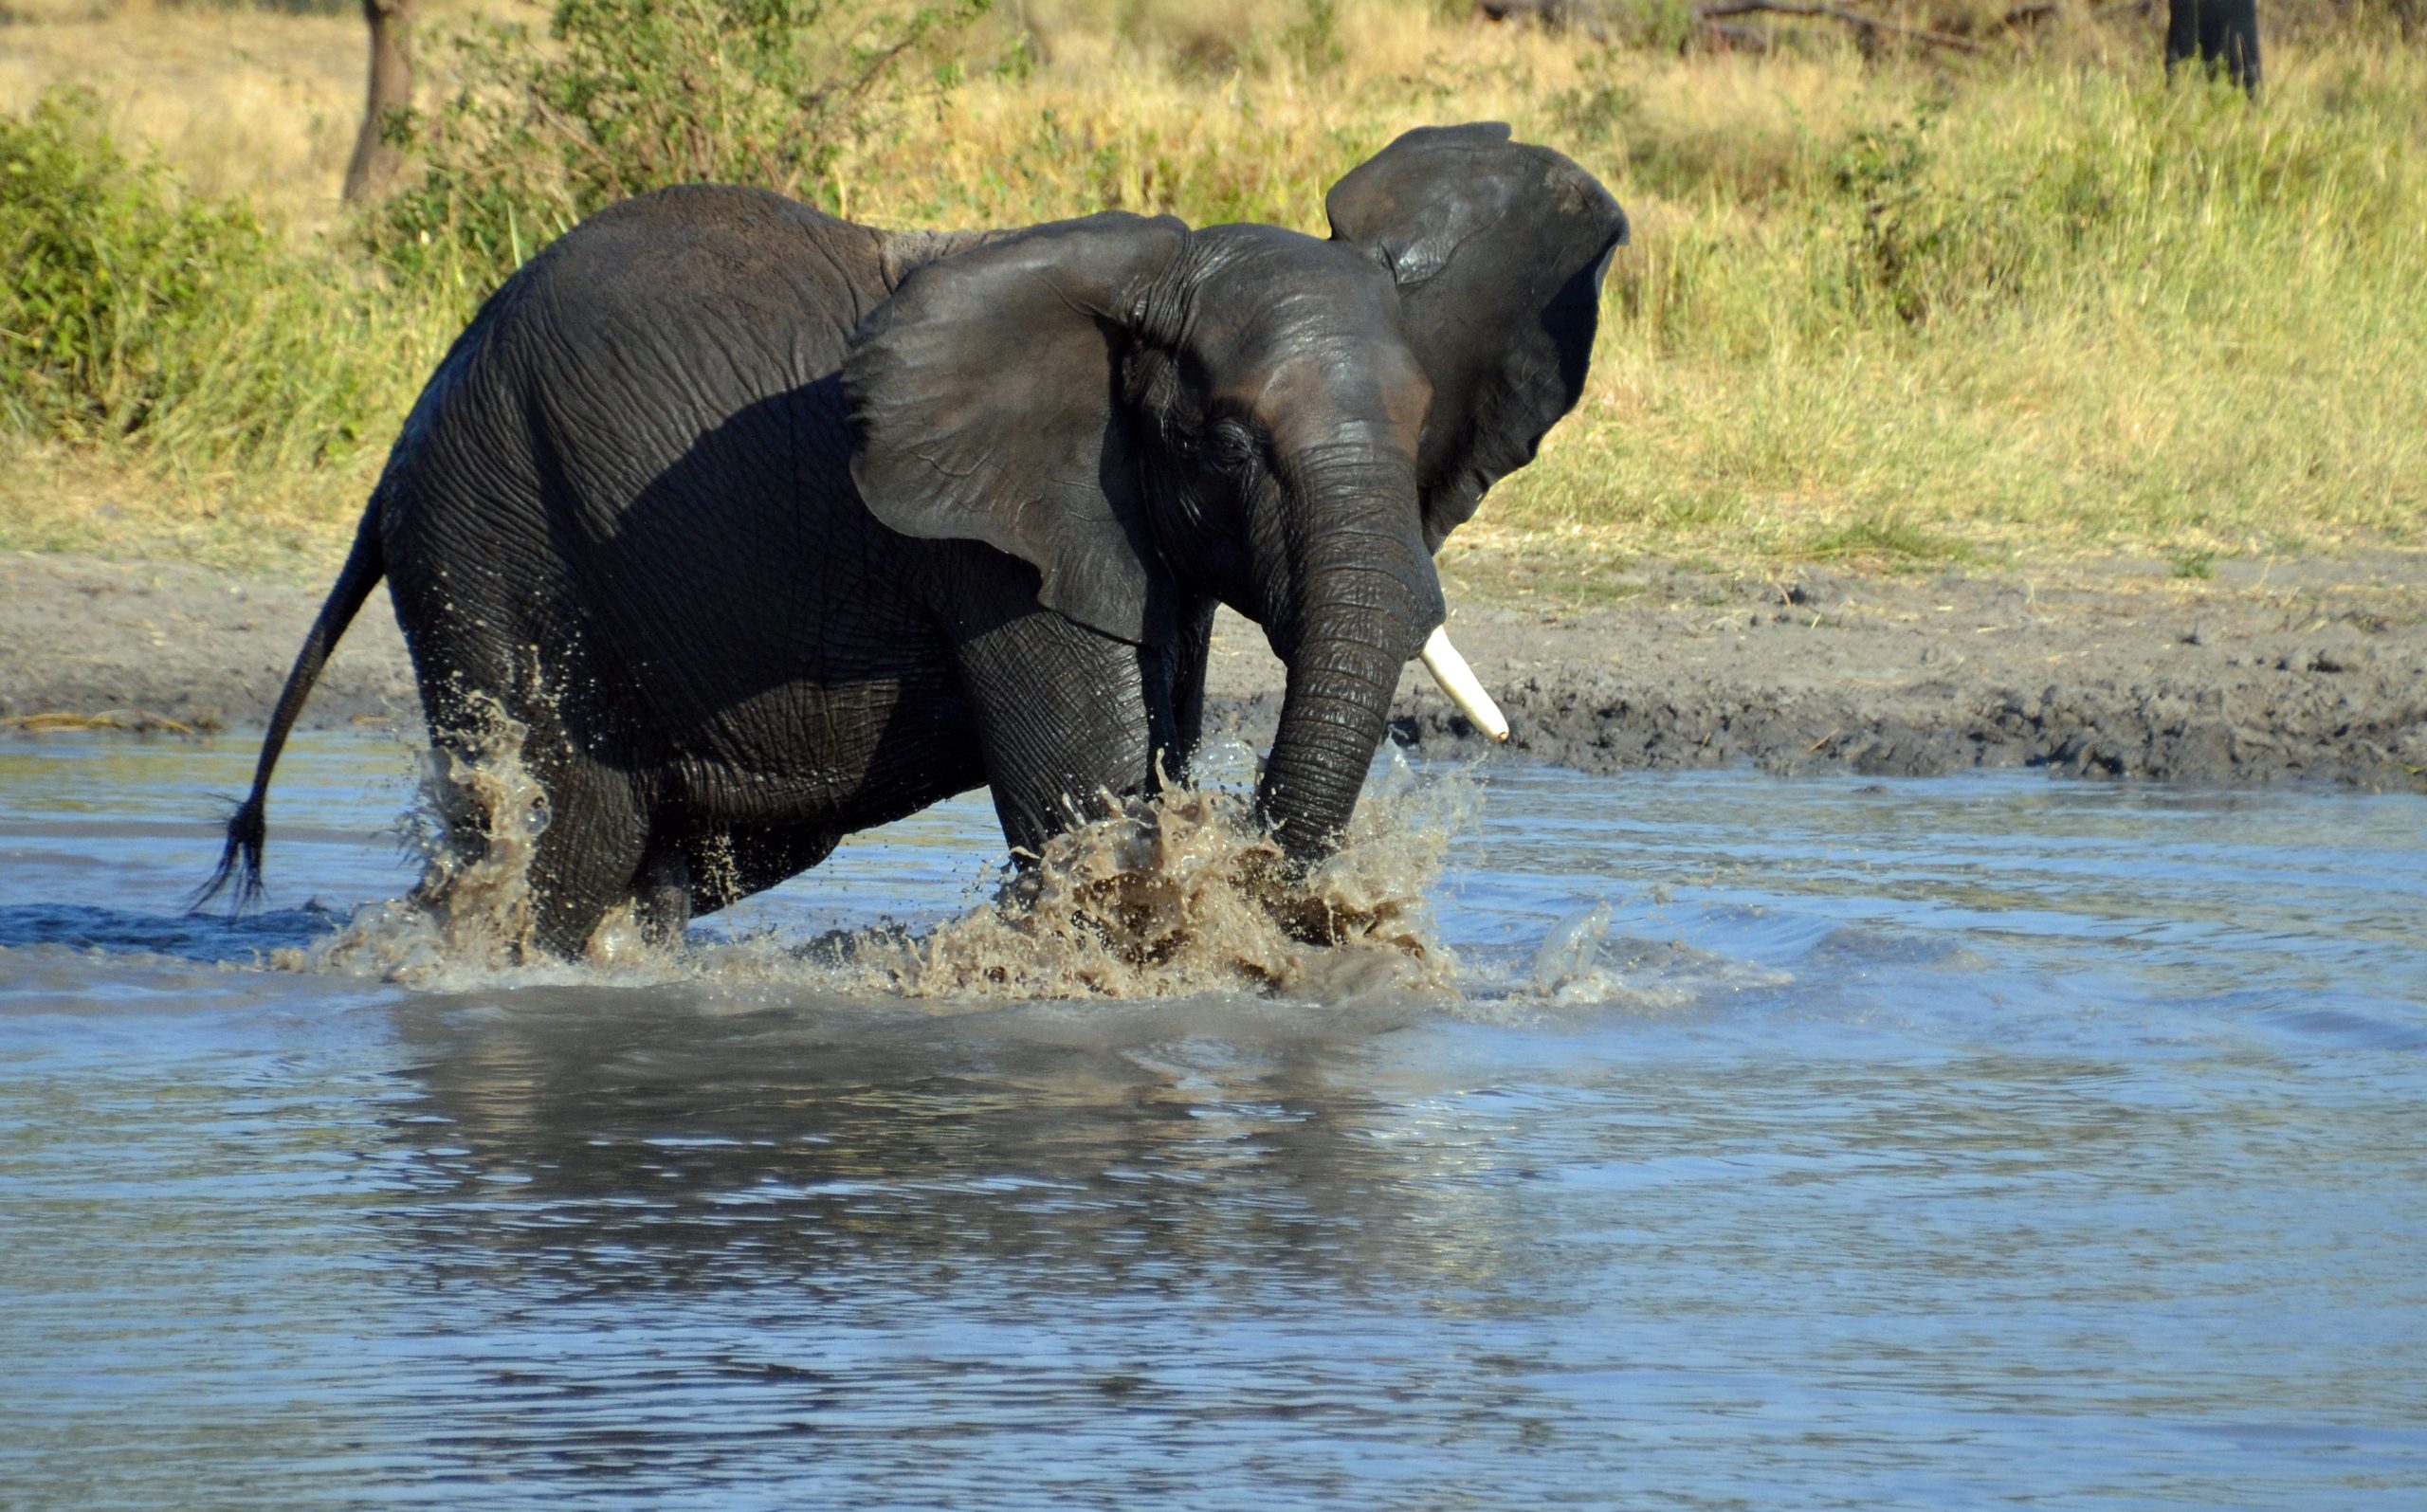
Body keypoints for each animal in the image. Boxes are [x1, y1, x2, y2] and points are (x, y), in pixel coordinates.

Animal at [202, 122, 1628, 958]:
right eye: (1224, 443)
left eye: (1424, 429)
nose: (1309, 908)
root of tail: (401, 444)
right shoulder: (994, 540)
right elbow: (1085, 795)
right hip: (487, 533)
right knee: (565, 820)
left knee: (648, 850)